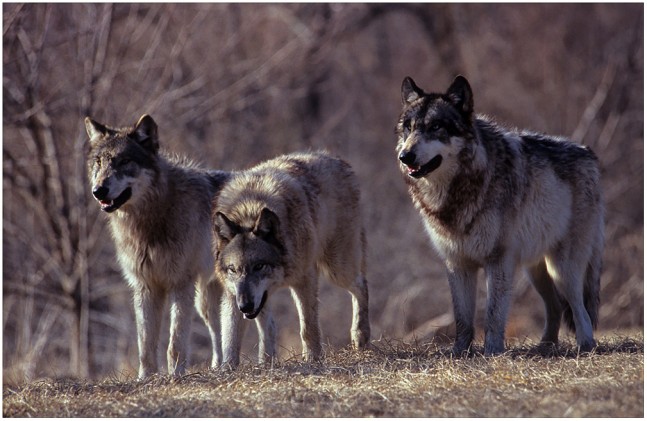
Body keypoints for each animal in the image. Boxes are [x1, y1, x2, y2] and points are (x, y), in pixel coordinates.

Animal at [85, 114, 274, 378]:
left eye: (124, 162)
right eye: (99, 162)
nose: (98, 190)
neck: (153, 219)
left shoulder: (180, 284)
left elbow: (175, 342)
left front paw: (175, 375)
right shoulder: (145, 286)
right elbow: (145, 344)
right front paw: (146, 378)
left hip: (246, 291)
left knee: (267, 322)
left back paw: (267, 363)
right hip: (207, 299)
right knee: (218, 332)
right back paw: (218, 367)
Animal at [212, 151, 371, 366]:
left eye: (259, 266)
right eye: (233, 269)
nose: (245, 306)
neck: (249, 211)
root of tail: (337, 160)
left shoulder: (305, 279)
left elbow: (308, 328)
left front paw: (313, 359)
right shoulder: (232, 294)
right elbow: (230, 339)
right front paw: (227, 369)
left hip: (337, 268)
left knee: (362, 284)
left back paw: (361, 336)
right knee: (269, 326)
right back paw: (266, 362)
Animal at [395, 75, 604, 355]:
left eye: (436, 126)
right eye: (408, 128)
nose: (405, 156)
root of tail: (588, 153)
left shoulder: (498, 260)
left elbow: (493, 315)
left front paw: (492, 352)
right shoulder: (457, 263)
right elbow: (462, 318)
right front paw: (460, 352)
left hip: (564, 268)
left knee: (580, 309)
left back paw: (586, 345)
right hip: (536, 271)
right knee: (556, 306)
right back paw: (545, 347)